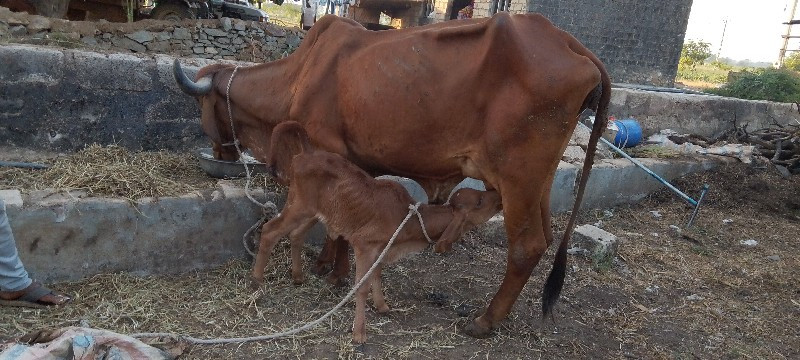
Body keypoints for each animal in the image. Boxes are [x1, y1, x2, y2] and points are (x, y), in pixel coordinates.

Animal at [250, 122, 500, 344]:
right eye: (479, 201)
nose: (498, 196)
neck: (406, 219)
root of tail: (309, 153)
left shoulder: (381, 248)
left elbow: (376, 276)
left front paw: (382, 306)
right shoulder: (364, 245)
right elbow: (362, 286)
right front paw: (359, 333)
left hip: (314, 212)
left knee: (296, 235)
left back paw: (298, 276)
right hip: (299, 206)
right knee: (270, 231)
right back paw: (257, 280)